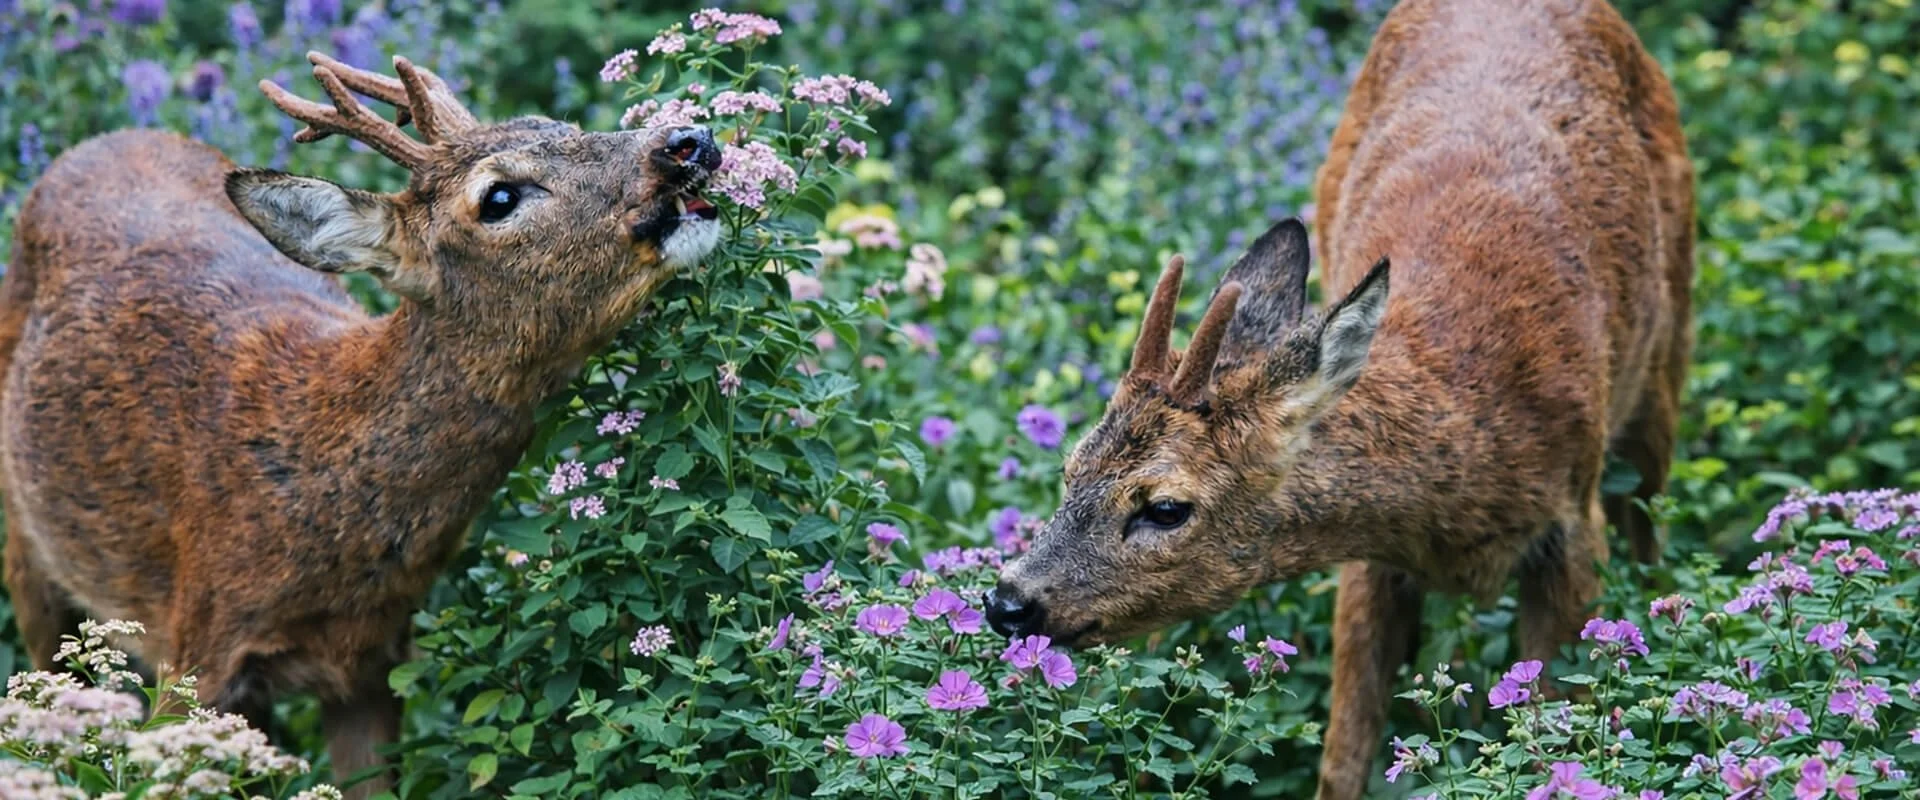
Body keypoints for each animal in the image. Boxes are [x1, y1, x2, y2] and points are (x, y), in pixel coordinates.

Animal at [0, 51, 723, 797]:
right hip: (27, 550)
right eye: (498, 198)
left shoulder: (371, 666)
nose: (686, 140)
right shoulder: (193, 652)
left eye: (566, 124)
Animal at [982, 0, 1694, 796]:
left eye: (1164, 507)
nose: (1007, 600)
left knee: (1652, 519)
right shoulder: (1369, 563)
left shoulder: (1573, 526)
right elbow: (1344, 755)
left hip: (1669, 342)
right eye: (1070, 467)